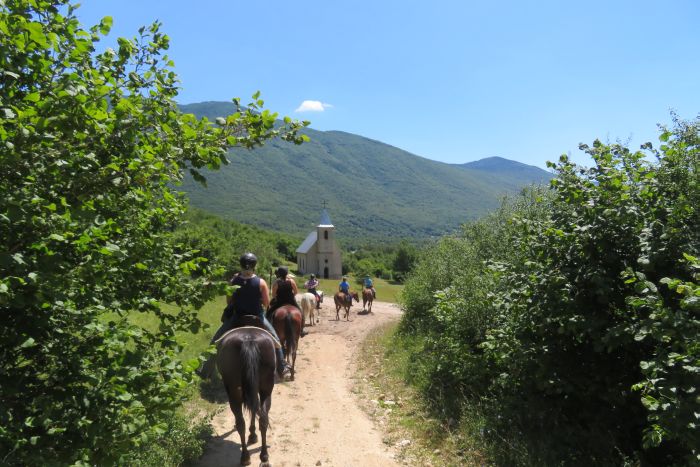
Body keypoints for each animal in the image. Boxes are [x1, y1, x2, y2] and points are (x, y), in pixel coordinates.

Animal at [216, 316, 276, 466]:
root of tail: (249, 340)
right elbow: (254, 409)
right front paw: (253, 435)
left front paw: (252, 435)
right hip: (266, 389)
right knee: (263, 418)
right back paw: (264, 457)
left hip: (233, 391)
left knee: (240, 422)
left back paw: (245, 456)